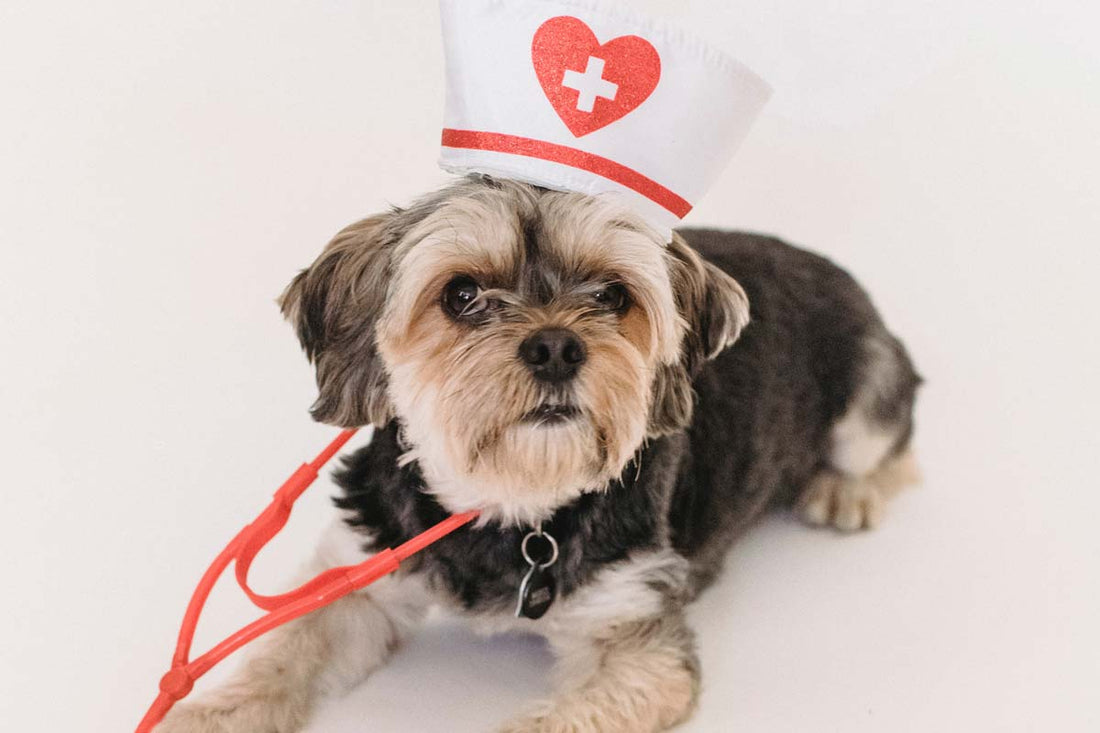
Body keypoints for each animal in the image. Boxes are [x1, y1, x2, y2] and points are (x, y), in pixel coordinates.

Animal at [157, 176, 919, 730]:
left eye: (612, 295)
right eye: (461, 294)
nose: (556, 345)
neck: (512, 502)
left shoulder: (635, 634)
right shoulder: (361, 570)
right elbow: (287, 650)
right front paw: (202, 715)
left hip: (869, 387)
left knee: (894, 441)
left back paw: (844, 490)